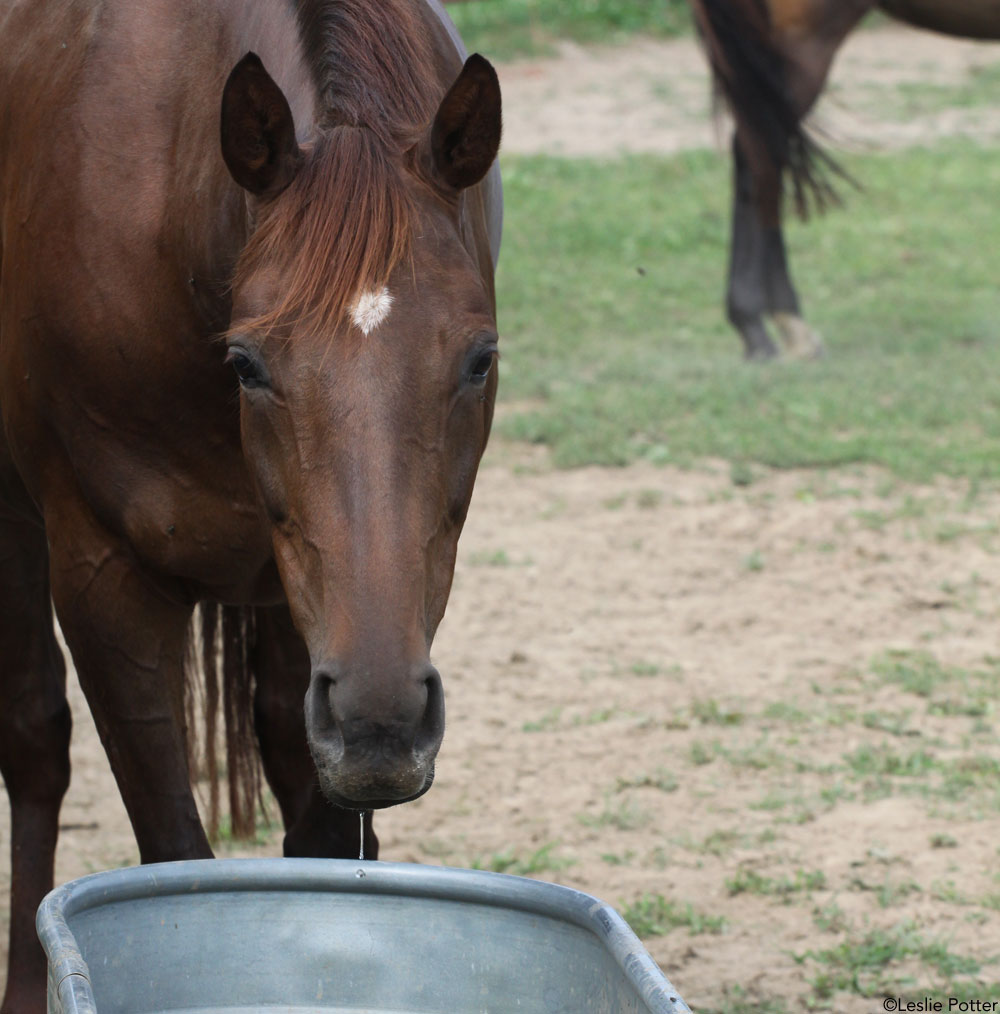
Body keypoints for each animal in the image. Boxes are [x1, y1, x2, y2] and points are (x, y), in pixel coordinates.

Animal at [0, 0, 498, 1005]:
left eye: (480, 358)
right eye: (248, 364)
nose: (383, 721)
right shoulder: (102, 581)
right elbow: (169, 853)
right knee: (33, 738)